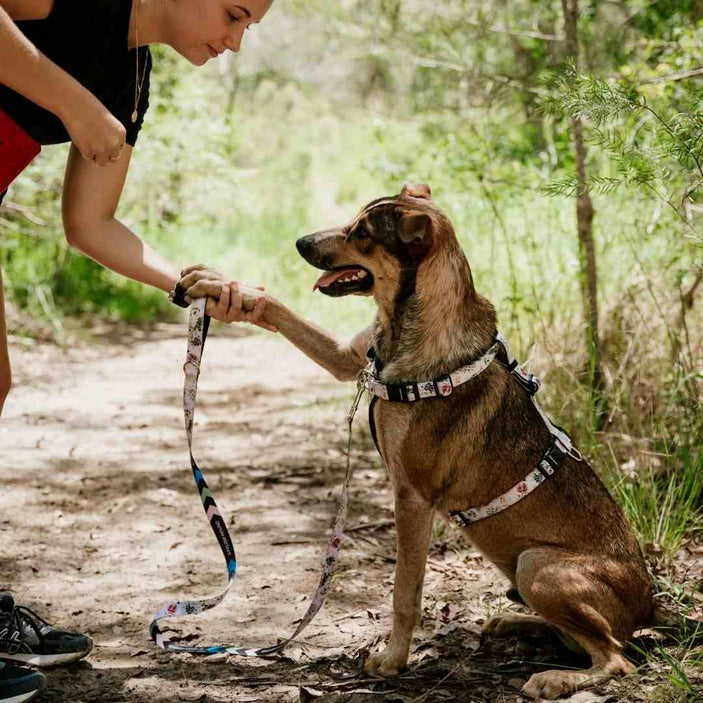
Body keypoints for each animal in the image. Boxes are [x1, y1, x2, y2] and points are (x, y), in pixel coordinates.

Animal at [182, 184, 656, 700]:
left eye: (363, 234)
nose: (300, 242)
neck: (406, 330)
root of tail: (650, 608)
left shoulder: (412, 498)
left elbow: (403, 592)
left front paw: (393, 660)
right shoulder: (347, 358)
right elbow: (278, 308)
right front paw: (212, 282)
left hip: (538, 565)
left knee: (617, 659)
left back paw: (554, 678)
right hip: (525, 574)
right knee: (584, 640)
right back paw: (512, 623)